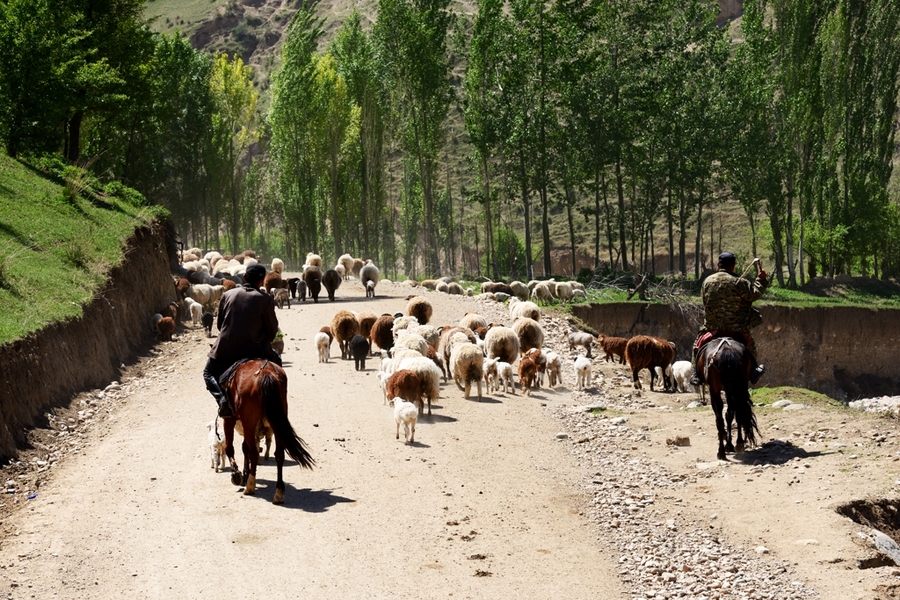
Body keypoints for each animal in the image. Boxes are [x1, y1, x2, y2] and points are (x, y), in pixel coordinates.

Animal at [223, 358, 314, 504]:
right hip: (277, 422)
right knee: (279, 455)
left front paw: (237, 475)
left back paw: (250, 487)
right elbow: (244, 448)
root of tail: (264, 372)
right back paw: (278, 493)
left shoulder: (229, 419)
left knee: (254, 453)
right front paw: (244, 474)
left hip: (250, 423)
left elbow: (230, 448)